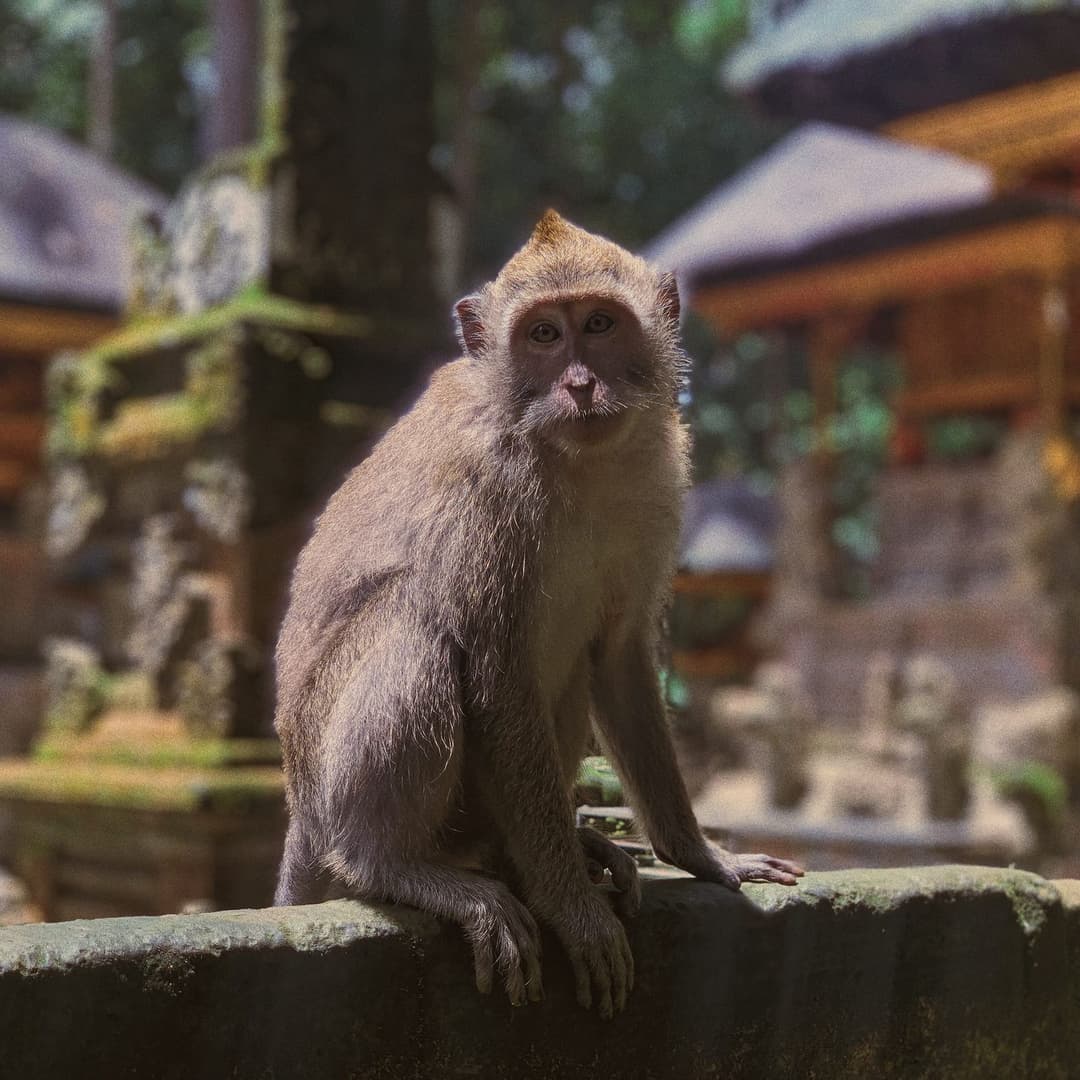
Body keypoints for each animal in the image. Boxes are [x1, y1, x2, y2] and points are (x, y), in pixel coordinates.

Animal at [272, 210, 803, 1018]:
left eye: (599, 324)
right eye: (544, 336)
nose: (579, 385)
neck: (573, 461)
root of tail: (299, 802)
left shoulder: (659, 485)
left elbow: (619, 659)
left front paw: (700, 854)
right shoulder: (484, 492)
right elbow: (496, 674)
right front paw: (572, 909)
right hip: (330, 772)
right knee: (417, 624)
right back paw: (394, 867)